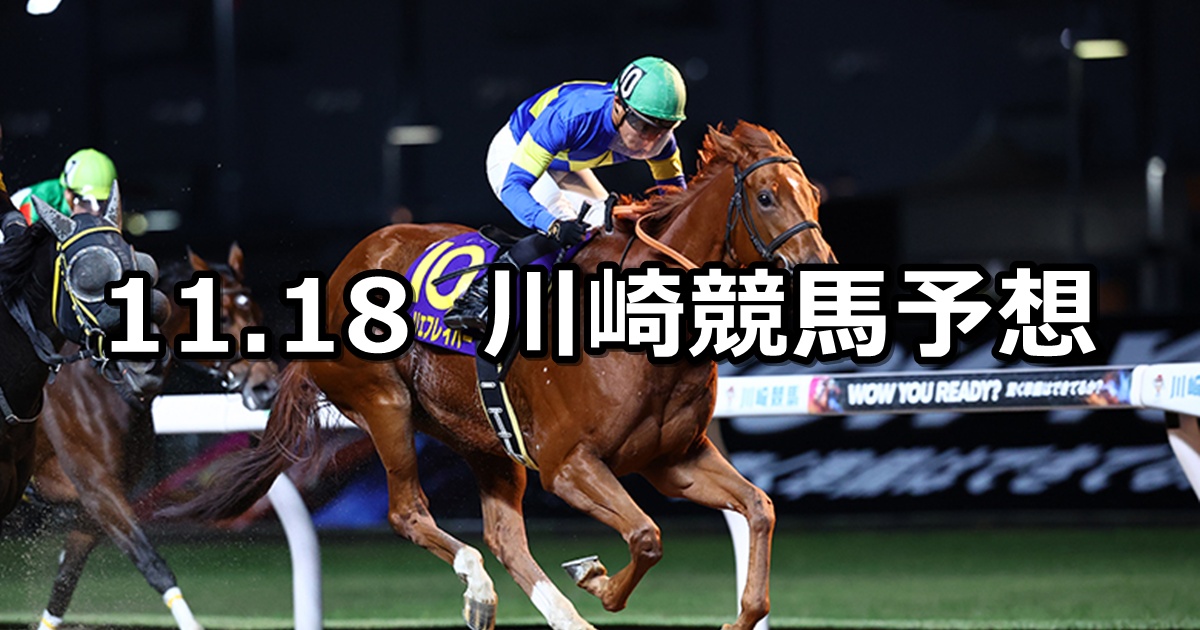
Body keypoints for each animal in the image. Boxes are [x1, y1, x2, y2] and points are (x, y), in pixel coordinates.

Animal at [24, 243, 280, 630]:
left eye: (258, 312)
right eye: (220, 318)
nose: (266, 387)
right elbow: (152, 563)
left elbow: (64, 584)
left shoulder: (92, 505)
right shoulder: (96, 487)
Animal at [167, 122, 835, 630]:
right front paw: (597, 579)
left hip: (484, 435)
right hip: (384, 403)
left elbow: (758, 508)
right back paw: (483, 589)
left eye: (813, 194)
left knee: (505, 536)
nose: (820, 267)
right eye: (767, 197)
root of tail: (342, 274)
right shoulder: (570, 465)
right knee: (408, 512)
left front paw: (740, 615)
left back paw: (550, 615)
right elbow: (647, 535)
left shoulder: (674, 458)